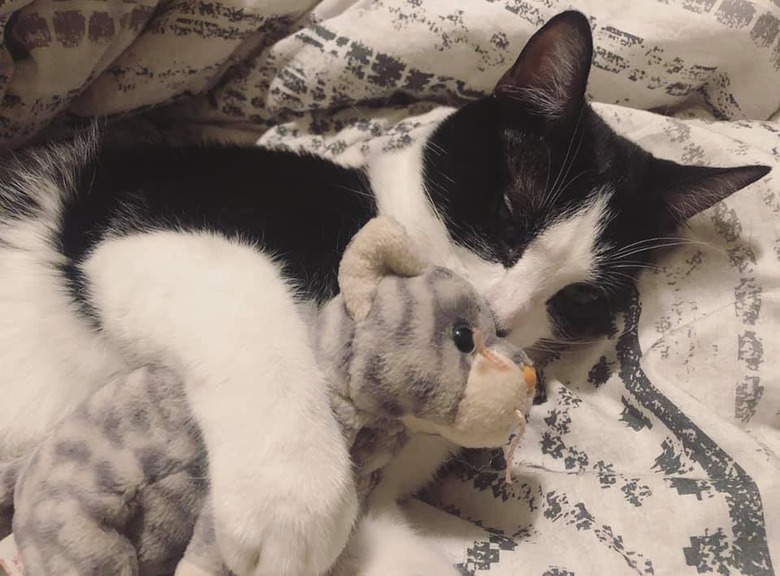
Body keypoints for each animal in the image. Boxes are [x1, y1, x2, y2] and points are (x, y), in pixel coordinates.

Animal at [0, 9, 768, 576]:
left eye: (579, 298)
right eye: (511, 216)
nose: (504, 317)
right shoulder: (134, 226)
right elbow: (245, 294)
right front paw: (290, 500)